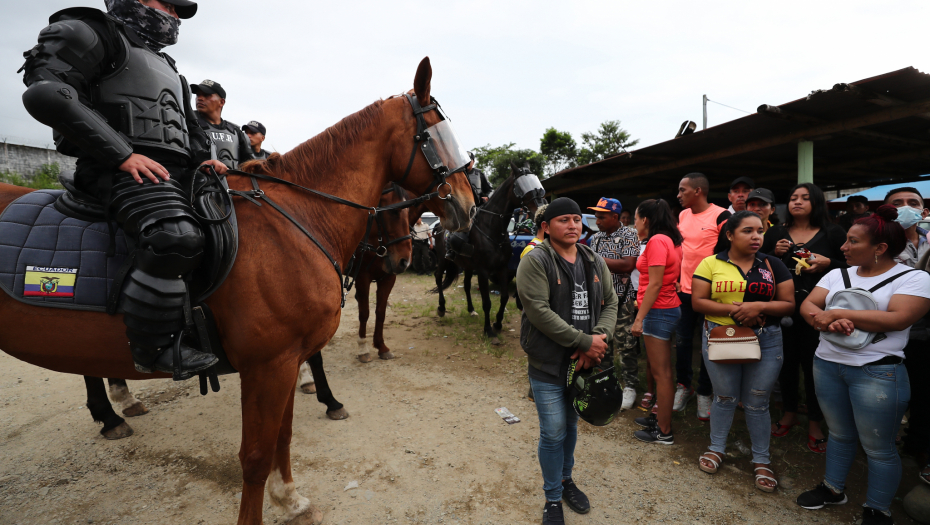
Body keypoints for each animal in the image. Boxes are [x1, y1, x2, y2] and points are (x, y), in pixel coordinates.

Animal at [0, 57, 474, 524]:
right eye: (435, 133)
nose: (468, 206)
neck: (296, 220)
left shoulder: (286, 359)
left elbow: (283, 436)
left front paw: (290, 498)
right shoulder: (269, 364)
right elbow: (257, 455)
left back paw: (115, 406)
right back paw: (111, 410)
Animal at [434, 162, 544, 338]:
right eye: (522, 188)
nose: (541, 208)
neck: (492, 229)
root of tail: (438, 226)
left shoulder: (502, 268)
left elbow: (504, 297)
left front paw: (498, 323)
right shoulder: (483, 271)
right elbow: (487, 302)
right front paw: (488, 329)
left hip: (467, 266)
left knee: (466, 285)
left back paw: (471, 310)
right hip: (443, 260)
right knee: (438, 278)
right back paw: (441, 308)